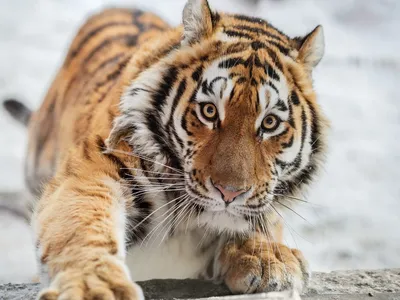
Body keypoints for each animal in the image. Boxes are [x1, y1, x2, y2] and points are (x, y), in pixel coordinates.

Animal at [3, 1, 328, 298]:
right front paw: (95, 286)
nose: (229, 193)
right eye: (209, 111)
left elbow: (261, 218)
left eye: (270, 122)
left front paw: (269, 258)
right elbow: (82, 223)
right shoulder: (99, 164)